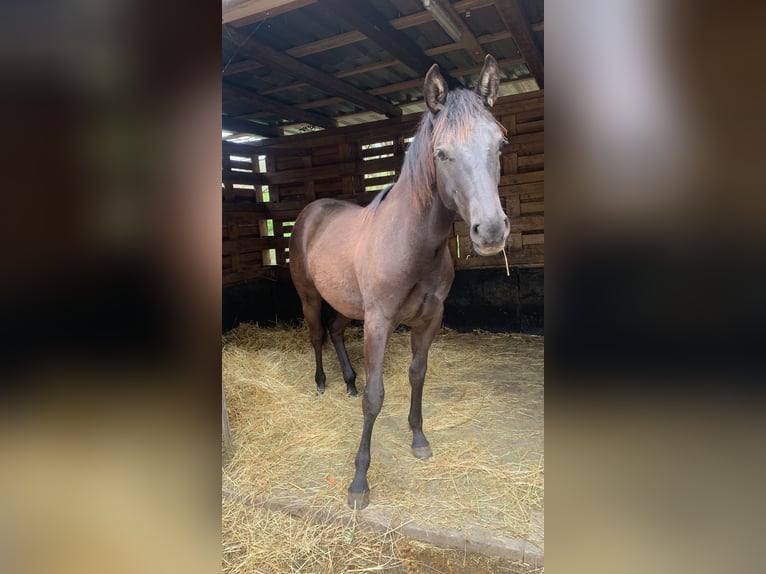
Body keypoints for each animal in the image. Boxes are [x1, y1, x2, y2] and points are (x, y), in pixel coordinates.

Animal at [288, 55, 510, 512]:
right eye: (441, 153)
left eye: (500, 144)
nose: (491, 231)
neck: (412, 242)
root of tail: (312, 212)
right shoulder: (379, 322)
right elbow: (376, 396)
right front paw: (359, 482)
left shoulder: (428, 320)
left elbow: (417, 374)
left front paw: (419, 439)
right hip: (311, 297)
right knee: (317, 335)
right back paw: (321, 384)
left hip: (347, 305)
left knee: (335, 332)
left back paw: (347, 382)